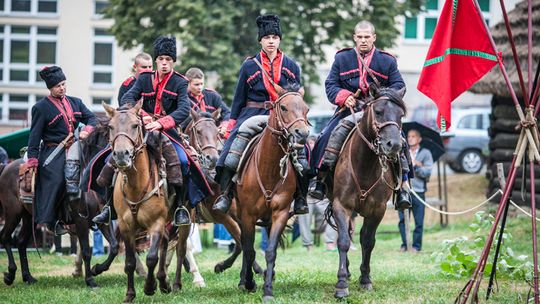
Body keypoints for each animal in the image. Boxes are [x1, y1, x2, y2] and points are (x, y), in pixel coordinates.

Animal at [104, 101, 172, 302]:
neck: (136, 186)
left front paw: (149, 287)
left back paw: (162, 282)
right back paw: (163, 281)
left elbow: (151, 258)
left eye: (135, 125)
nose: (121, 155)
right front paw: (130, 294)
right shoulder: (126, 227)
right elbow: (129, 262)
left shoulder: (156, 223)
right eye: (110, 127)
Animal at [235, 89, 308, 300]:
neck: (267, 168)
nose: (302, 133)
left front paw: (267, 290)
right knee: (244, 245)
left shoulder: (280, 214)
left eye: (306, 108)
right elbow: (249, 250)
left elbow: (270, 251)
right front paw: (249, 283)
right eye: (283, 107)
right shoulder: (247, 216)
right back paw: (243, 280)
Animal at [326, 86, 408, 298]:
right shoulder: (341, 206)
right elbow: (343, 241)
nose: (394, 145)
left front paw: (365, 279)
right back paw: (346, 273)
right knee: (343, 235)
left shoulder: (377, 210)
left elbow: (368, 241)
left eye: (401, 115)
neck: (364, 164)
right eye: (378, 111)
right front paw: (341, 284)